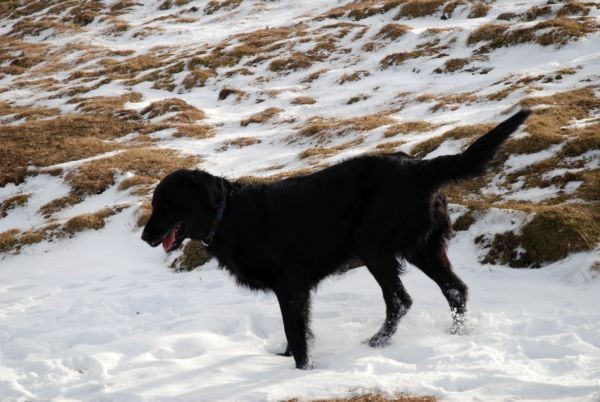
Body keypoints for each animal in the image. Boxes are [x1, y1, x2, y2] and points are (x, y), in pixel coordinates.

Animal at [142, 110, 528, 370]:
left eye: (166, 204)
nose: (145, 236)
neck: (229, 216)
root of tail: (418, 167)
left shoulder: (290, 284)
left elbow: (296, 332)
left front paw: (301, 369)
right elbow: (296, 331)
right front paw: (285, 358)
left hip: (374, 245)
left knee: (400, 300)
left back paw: (376, 342)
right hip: (423, 247)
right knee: (455, 290)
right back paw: (456, 336)